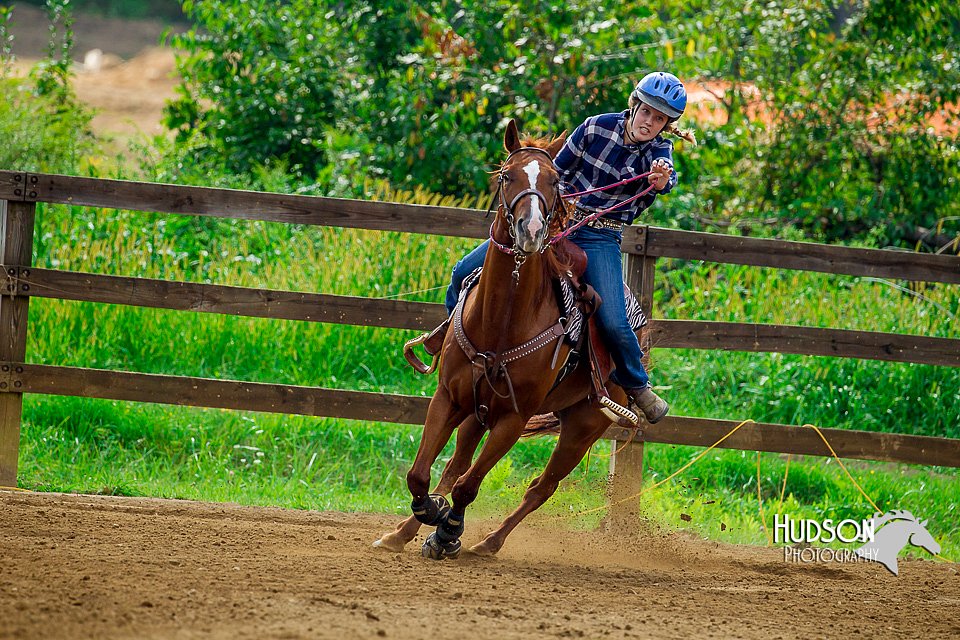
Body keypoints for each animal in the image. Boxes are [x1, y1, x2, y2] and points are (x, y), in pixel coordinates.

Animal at [374, 120, 636, 560]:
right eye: (506, 176)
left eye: (554, 181)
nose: (531, 230)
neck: (501, 323)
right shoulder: (449, 396)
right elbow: (421, 474)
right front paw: (430, 514)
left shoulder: (513, 418)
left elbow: (469, 486)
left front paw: (448, 532)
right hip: (477, 410)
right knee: (455, 466)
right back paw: (404, 532)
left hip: (583, 427)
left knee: (540, 489)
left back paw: (488, 542)